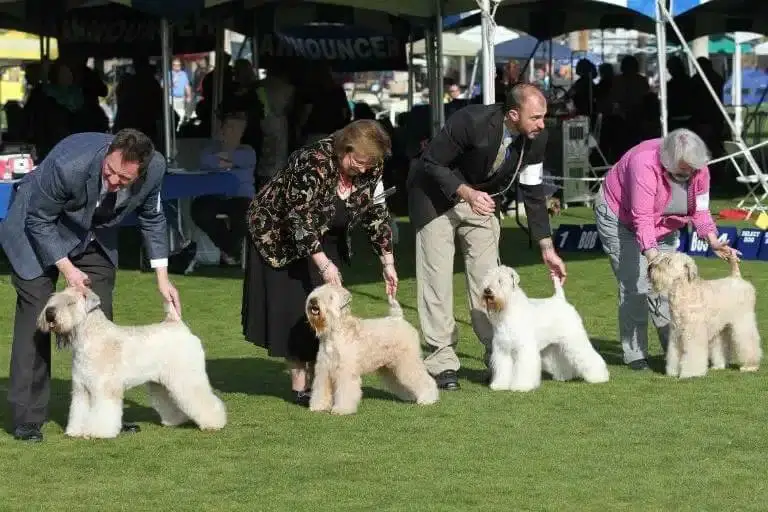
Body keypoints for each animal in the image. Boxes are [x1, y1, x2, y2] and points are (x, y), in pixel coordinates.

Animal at [38, 286, 226, 438]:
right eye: (53, 298)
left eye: (70, 302)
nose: (49, 314)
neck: (90, 338)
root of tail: (179, 325)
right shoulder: (81, 390)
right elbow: (79, 412)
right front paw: (76, 431)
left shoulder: (104, 389)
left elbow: (103, 412)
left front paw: (98, 432)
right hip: (161, 383)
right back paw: (174, 420)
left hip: (186, 378)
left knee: (203, 399)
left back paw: (214, 423)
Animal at [304, 284, 438, 416]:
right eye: (316, 292)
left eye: (331, 297)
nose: (313, 301)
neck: (334, 333)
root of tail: (398, 319)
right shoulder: (323, 370)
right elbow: (320, 390)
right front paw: (318, 406)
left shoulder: (345, 371)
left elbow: (344, 391)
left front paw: (342, 409)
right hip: (391, 368)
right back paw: (410, 396)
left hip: (407, 363)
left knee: (424, 379)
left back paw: (428, 398)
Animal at [480, 264, 612, 392]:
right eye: (486, 280)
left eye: (500, 281)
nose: (487, 290)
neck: (507, 311)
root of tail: (560, 299)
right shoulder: (502, 349)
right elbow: (503, 369)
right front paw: (500, 385)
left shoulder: (524, 348)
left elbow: (523, 369)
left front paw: (521, 386)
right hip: (554, 345)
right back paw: (564, 376)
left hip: (573, 340)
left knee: (589, 356)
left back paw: (599, 377)